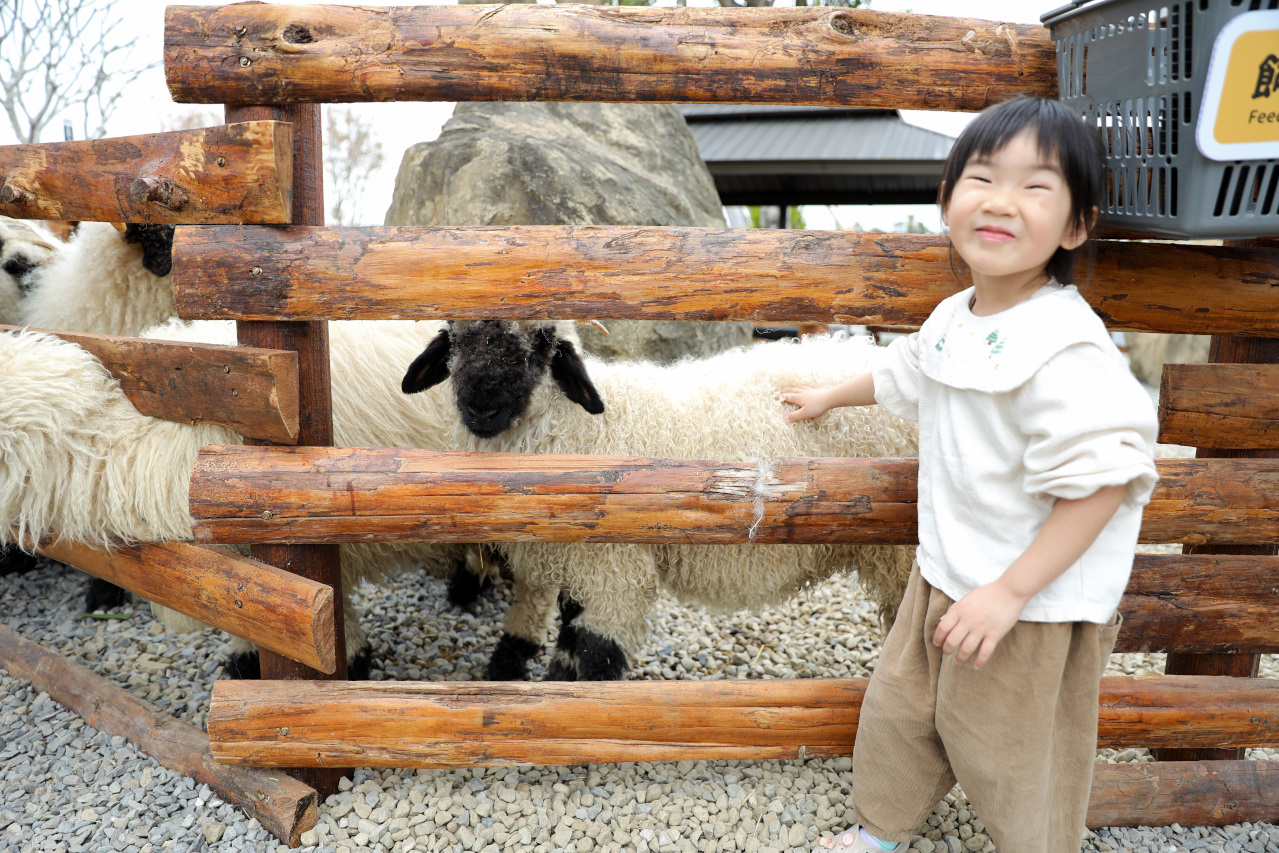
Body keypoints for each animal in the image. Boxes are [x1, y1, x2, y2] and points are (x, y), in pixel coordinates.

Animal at [401, 319, 920, 680]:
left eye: (543, 344)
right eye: (455, 338)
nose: (481, 407)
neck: (585, 431)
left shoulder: (616, 570)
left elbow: (597, 654)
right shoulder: (577, 566)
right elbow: (569, 641)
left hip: (899, 555)